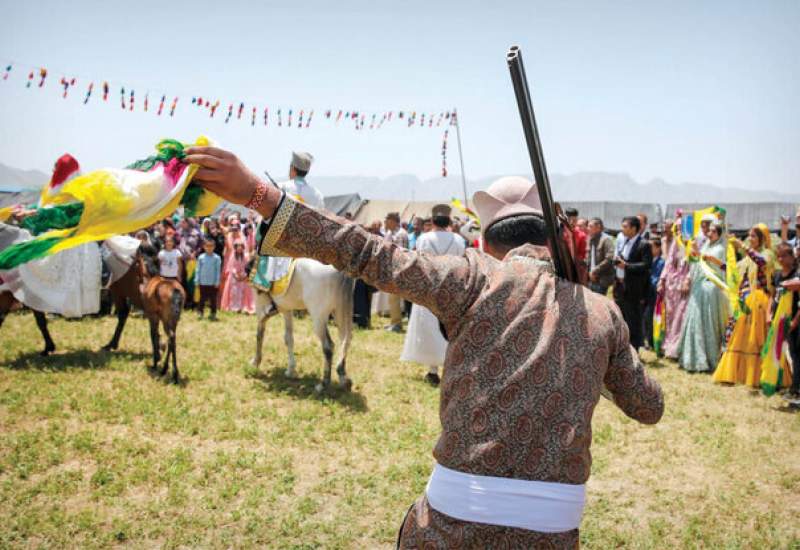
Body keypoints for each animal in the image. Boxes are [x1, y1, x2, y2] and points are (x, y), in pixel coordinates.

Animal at [252, 260, 354, 394]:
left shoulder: (260, 304)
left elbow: (259, 334)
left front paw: (255, 362)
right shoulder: (286, 309)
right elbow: (288, 338)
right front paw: (290, 370)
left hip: (318, 317)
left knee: (328, 346)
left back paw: (323, 384)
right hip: (341, 312)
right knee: (345, 341)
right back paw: (344, 380)